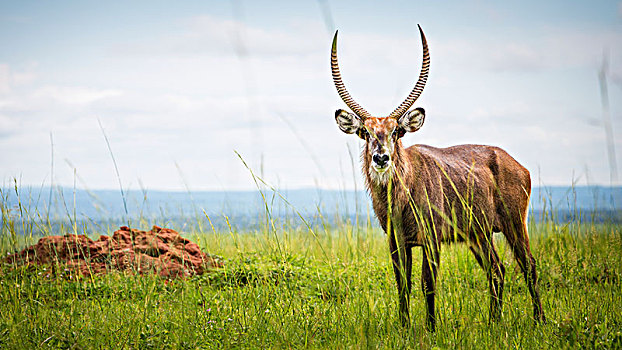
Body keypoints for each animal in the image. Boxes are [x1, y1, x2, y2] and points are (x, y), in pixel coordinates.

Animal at [332, 25, 544, 330]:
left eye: (397, 131)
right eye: (365, 132)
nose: (381, 158)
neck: (402, 195)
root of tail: (516, 164)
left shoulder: (431, 239)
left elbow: (427, 284)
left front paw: (431, 329)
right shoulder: (397, 242)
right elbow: (403, 285)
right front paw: (404, 327)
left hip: (514, 224)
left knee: (528, 266)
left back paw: (539, 321)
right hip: (478, 234)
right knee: (497, 270)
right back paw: (493, 322)